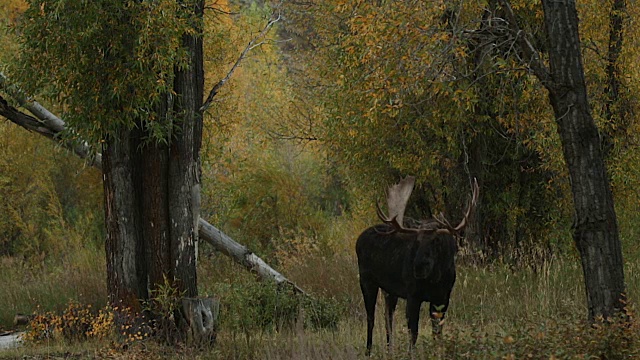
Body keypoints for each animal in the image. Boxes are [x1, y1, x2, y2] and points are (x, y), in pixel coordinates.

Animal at [356, 176, 480, 352]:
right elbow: (413, 332)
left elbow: (437, 331)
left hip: (389, 290)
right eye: (418, 240)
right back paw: (369, 351)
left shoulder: (443, 298)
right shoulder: (413, 295)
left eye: (436, 241)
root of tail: (359, 238)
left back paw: (390, 349)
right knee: (371, 317)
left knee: (388, 317)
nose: (418, 267)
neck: (436, 279)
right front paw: (411, 353)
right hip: (366, 280)